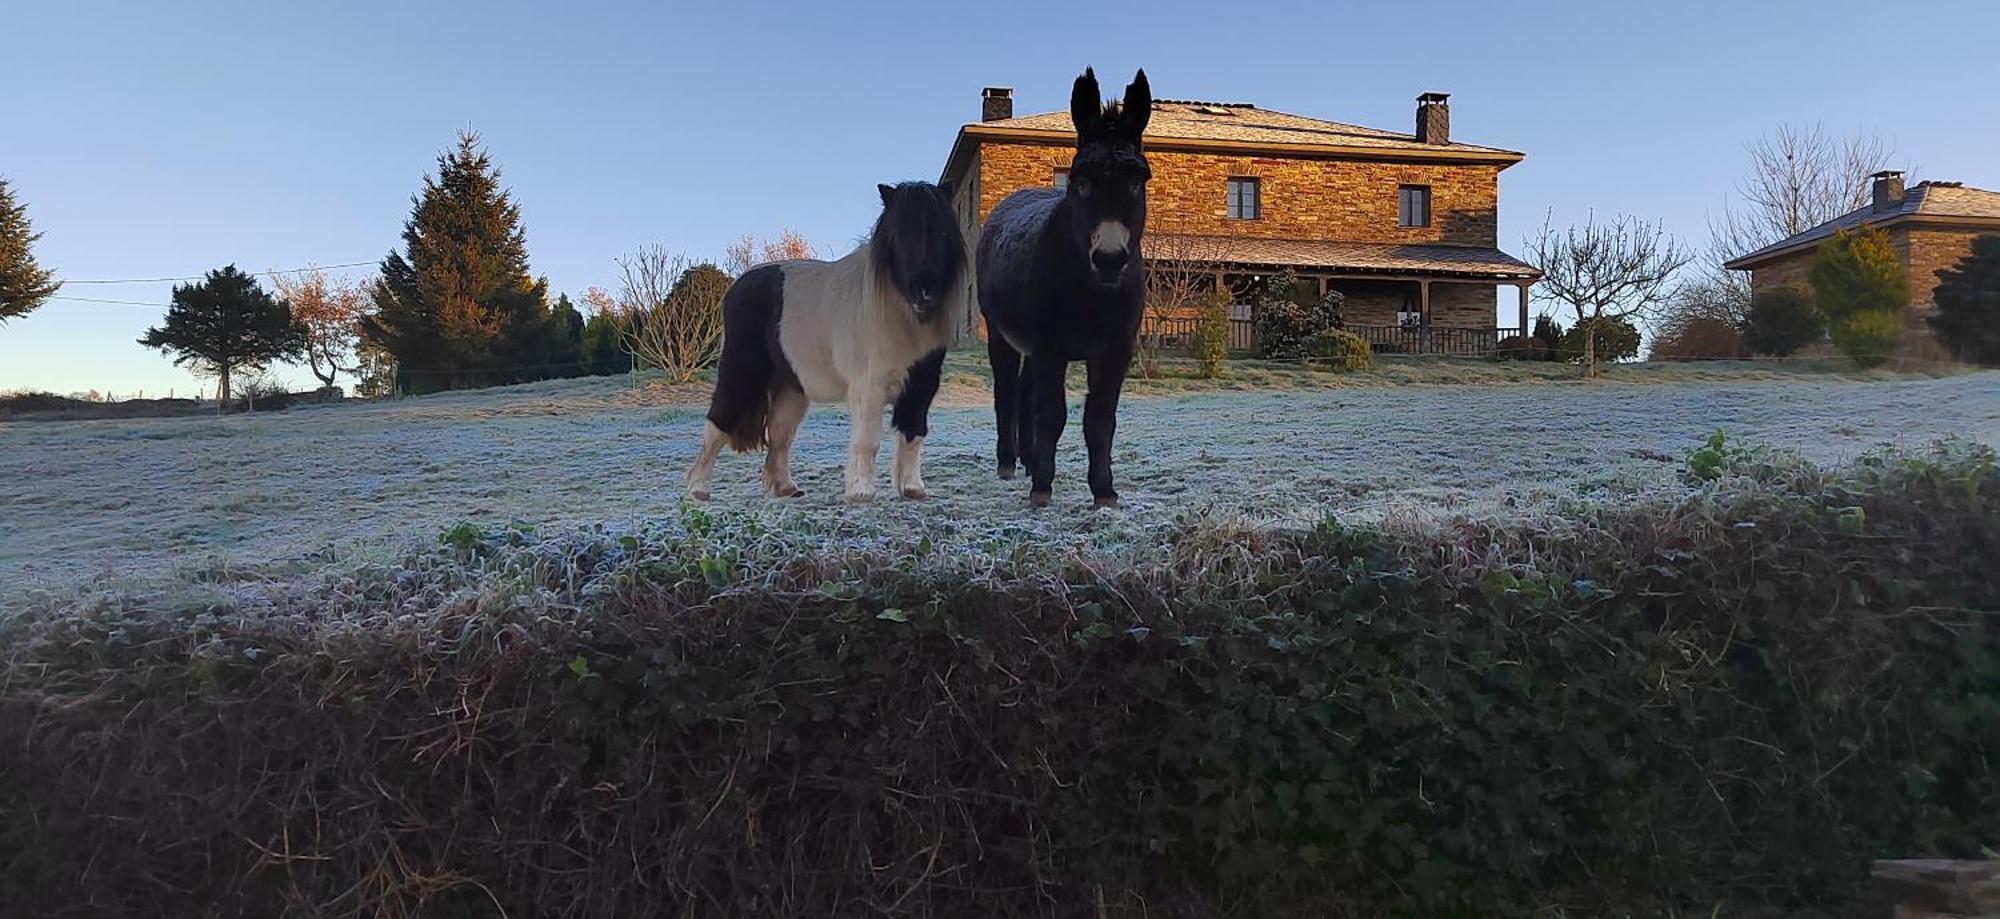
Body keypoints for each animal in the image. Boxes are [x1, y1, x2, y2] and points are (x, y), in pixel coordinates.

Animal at [688, 180, 968, 503]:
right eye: (899, 236)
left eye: (943, 233)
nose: (925, 292)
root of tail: (738, 285)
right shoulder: (868, 388)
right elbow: (867, 441)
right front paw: (861, 491)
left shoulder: (921, 387)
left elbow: (913, 435)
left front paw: (912, 489)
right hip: (739, 376)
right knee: (717, 425)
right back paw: (698, 489)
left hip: (791, 388)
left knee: (780, 434)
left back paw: (787, 488)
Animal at [972, 66, 1152, 509]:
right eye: (1081, 182)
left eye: (1138, 181)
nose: (1109, 259)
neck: (1092, 294)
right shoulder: (1050, 345)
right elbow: (1053, 414)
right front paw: (1042, 489)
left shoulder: (1115, 350)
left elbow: (1100, 419)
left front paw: (1104, 492)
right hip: (1001, 334)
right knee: (1008, 392)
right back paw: (1010, 463)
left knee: (1025, 393)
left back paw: (1030, 460)